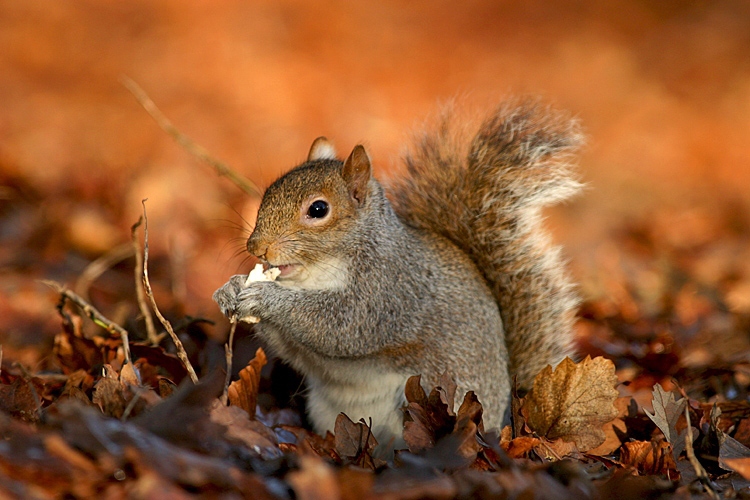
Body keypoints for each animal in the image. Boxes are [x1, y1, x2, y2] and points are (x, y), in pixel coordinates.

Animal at [214, 99, 584, 448]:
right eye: (268, 192)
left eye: (318, 209)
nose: (256, 246)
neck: (317, 273)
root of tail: (507, 417)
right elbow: (292, 346)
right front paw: (230, 289)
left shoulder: (389, 291)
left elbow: (339, 325)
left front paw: (266, 297)